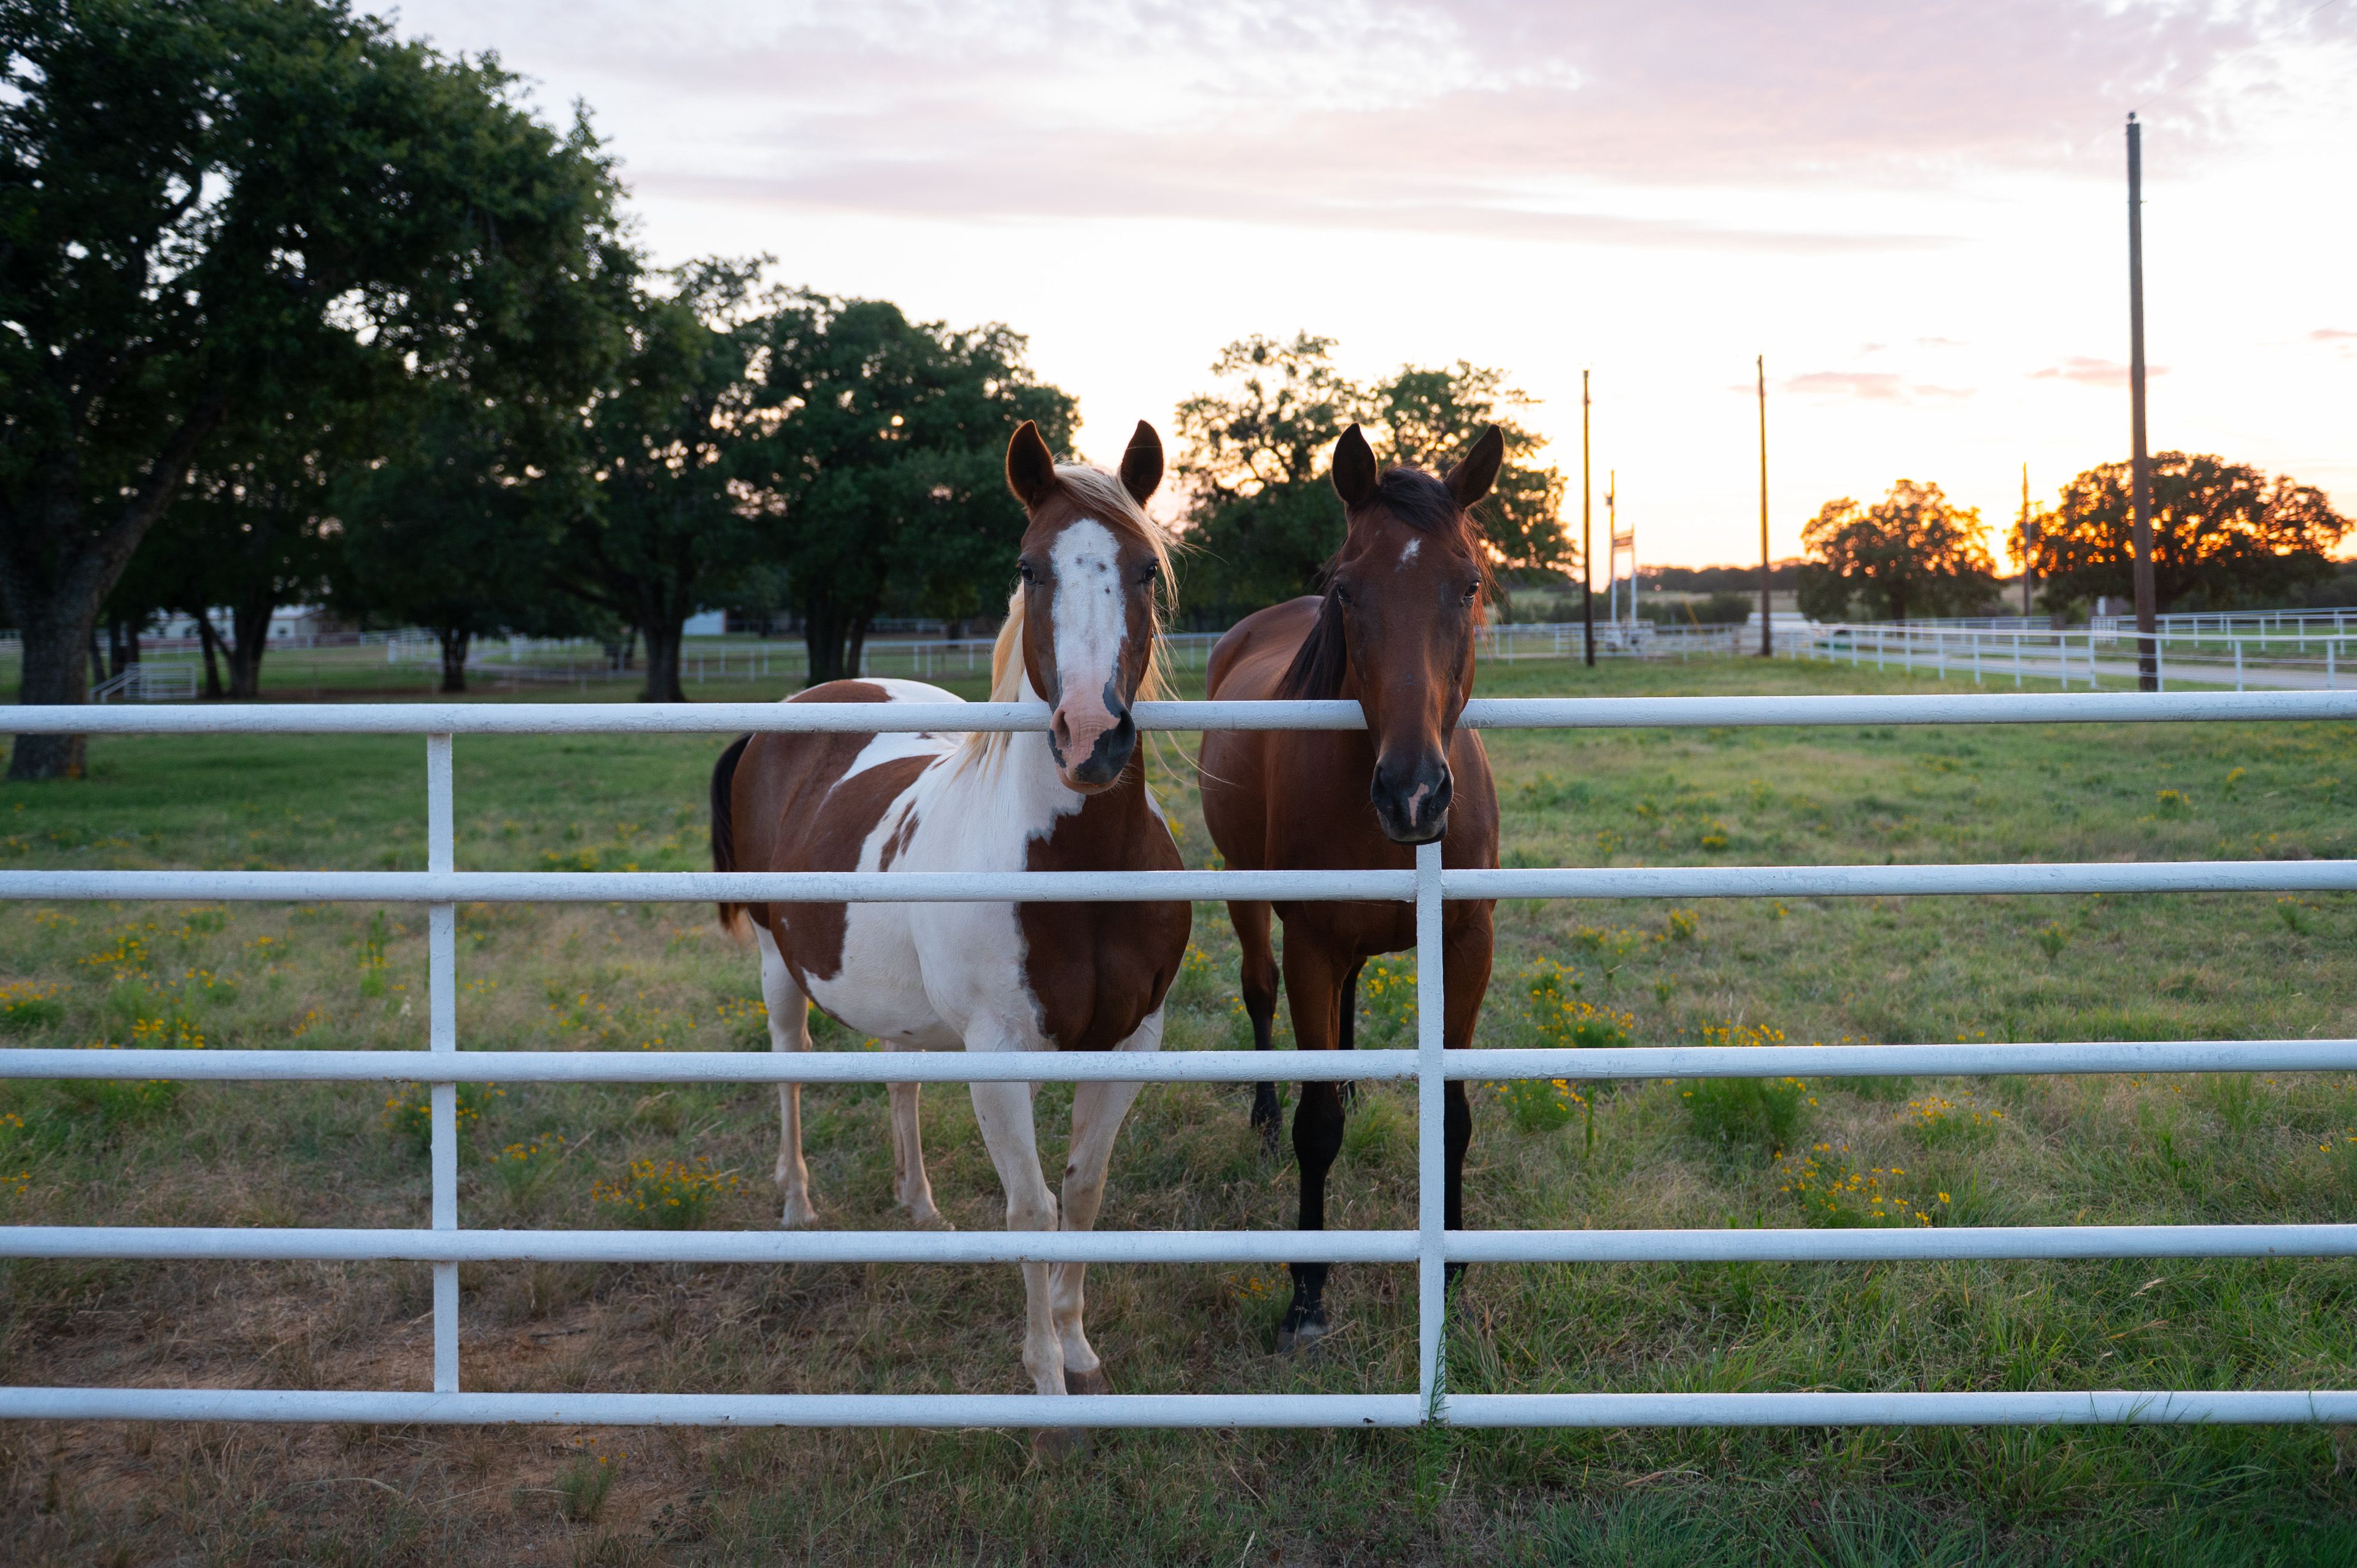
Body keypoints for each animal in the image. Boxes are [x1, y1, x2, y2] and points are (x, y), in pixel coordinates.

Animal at [708, 419, 1190, 1442]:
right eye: (1028, 566)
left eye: (1144, 569)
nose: (1090, 738)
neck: (1079, 866)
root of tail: (808, 703)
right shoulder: (1000, 1054)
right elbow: (1032, 1207)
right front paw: (1043, 1376)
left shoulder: (1133, 1039)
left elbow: (1084, 1192)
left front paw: (1080, 1349)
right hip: (777, 965)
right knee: (790, 1066)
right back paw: (798, 1205)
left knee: (900, 1075)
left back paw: (922, 1208)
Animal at [1197, 422, 1503, 1352]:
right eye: (1347, 588)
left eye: (1468, 582)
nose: (1413, 792)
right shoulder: (1312, 944)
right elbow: (1317, 1125)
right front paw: (1306, 1291)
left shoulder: (1467, 942)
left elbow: (1453, 1110)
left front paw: (1457, 1265)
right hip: (1247, 893)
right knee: (1260, 994)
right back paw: (1264, 1113)